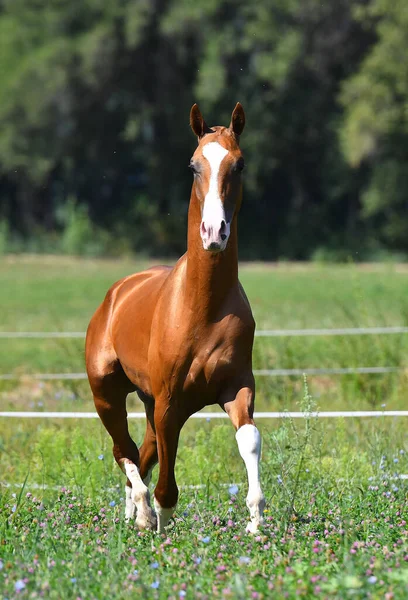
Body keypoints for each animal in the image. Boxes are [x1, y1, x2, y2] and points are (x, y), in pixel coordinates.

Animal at [85, 104, 264, 536]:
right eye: (194, 165)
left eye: (239, 164)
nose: (214, 232)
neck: (204, 308)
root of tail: (115, 294)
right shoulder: (170, 402)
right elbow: (166, 476)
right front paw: (162, 521)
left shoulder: (236, 388)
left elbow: (249, 438)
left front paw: (256, 520)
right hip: (107, 395)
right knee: (125, 451)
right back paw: (142, 514)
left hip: (146, 401)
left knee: (141, 453)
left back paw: (133, 514)